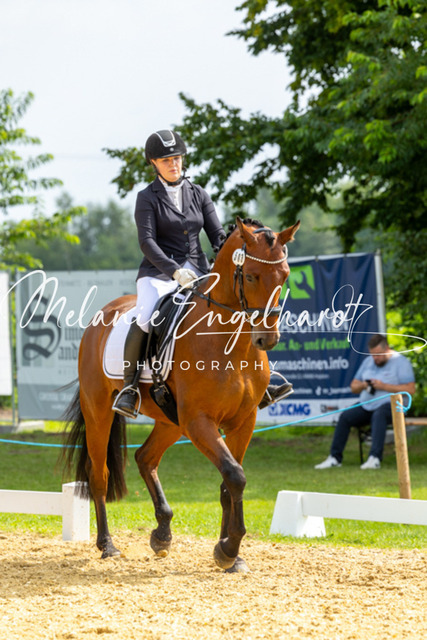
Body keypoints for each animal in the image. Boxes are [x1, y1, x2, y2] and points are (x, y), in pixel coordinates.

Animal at [63, 217, 300, 571]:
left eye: (284, 276)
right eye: (250, 276)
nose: (266, 339)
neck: (229, 342)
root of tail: (102, 315)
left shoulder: (243, 421)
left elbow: (229, 482)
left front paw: (231, 555)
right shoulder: (199, 421)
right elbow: (235, 475)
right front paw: (228, 549)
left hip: (170, 420)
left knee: (145, 458)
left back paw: (162, 534)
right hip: (100, 412)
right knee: (99, 474)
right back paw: (107, 545)